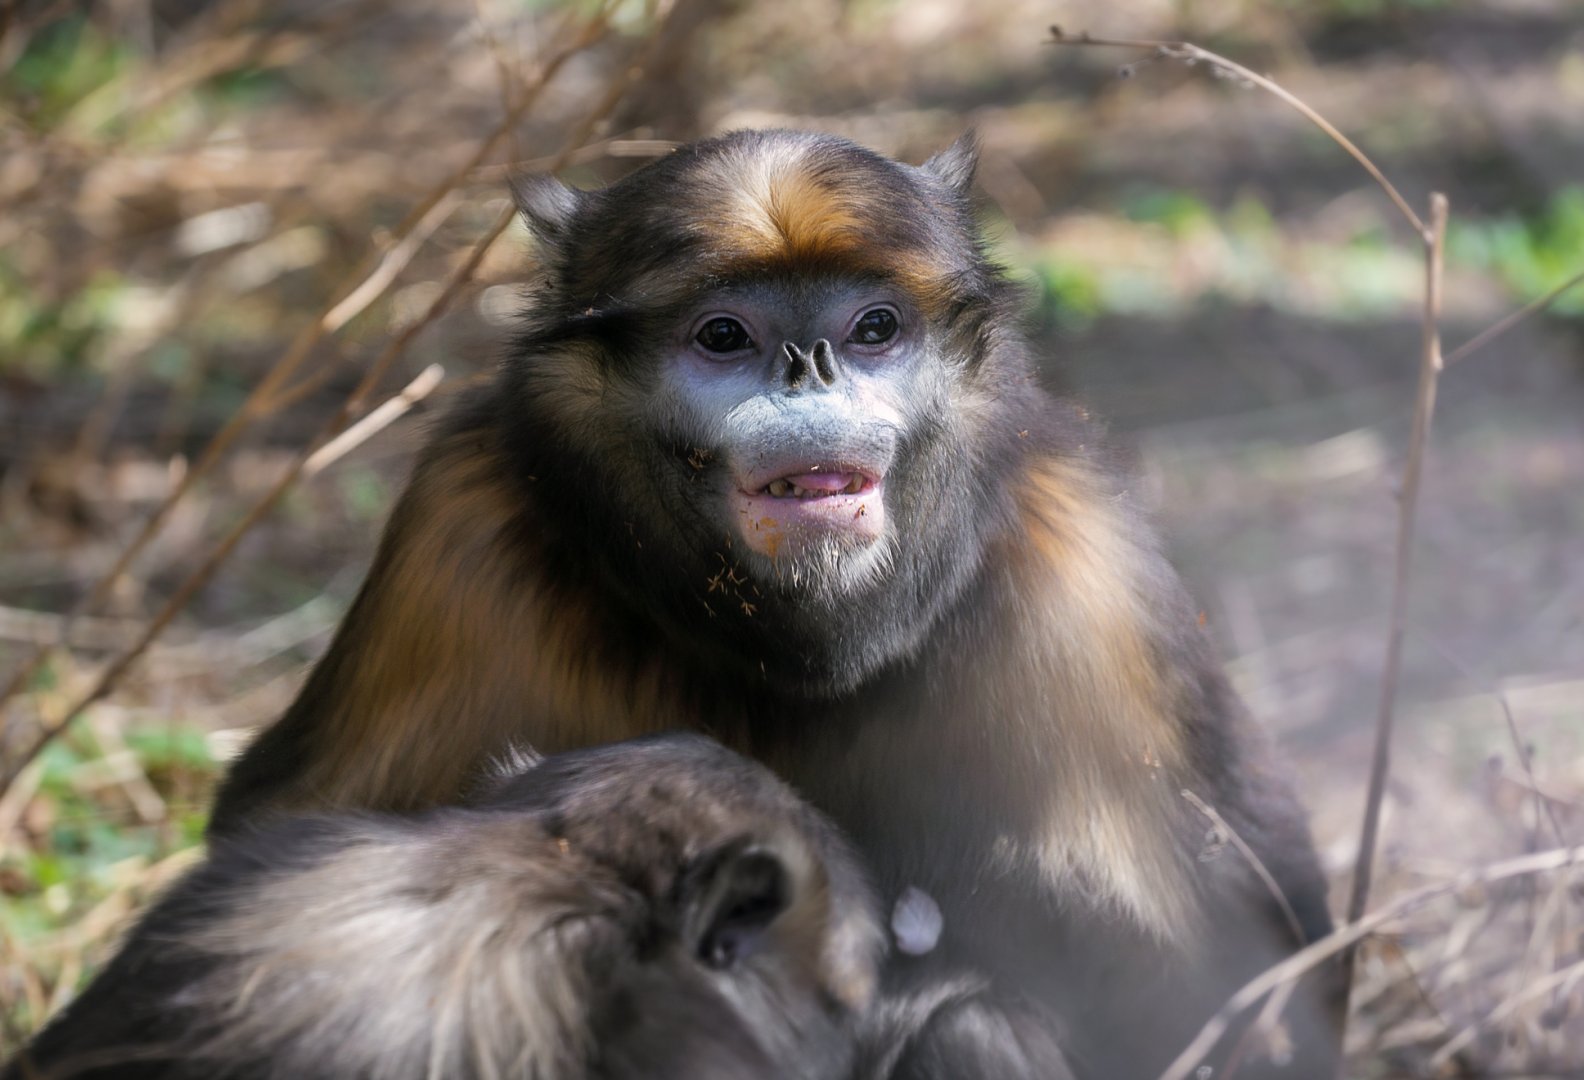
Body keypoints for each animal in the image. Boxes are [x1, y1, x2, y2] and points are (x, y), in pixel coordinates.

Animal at [205, 129, 1339, 1075]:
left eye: (873, 327)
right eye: (723, 336)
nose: (810, 370)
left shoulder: (1085, 568)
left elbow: (1244, 992)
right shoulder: (458, 524)